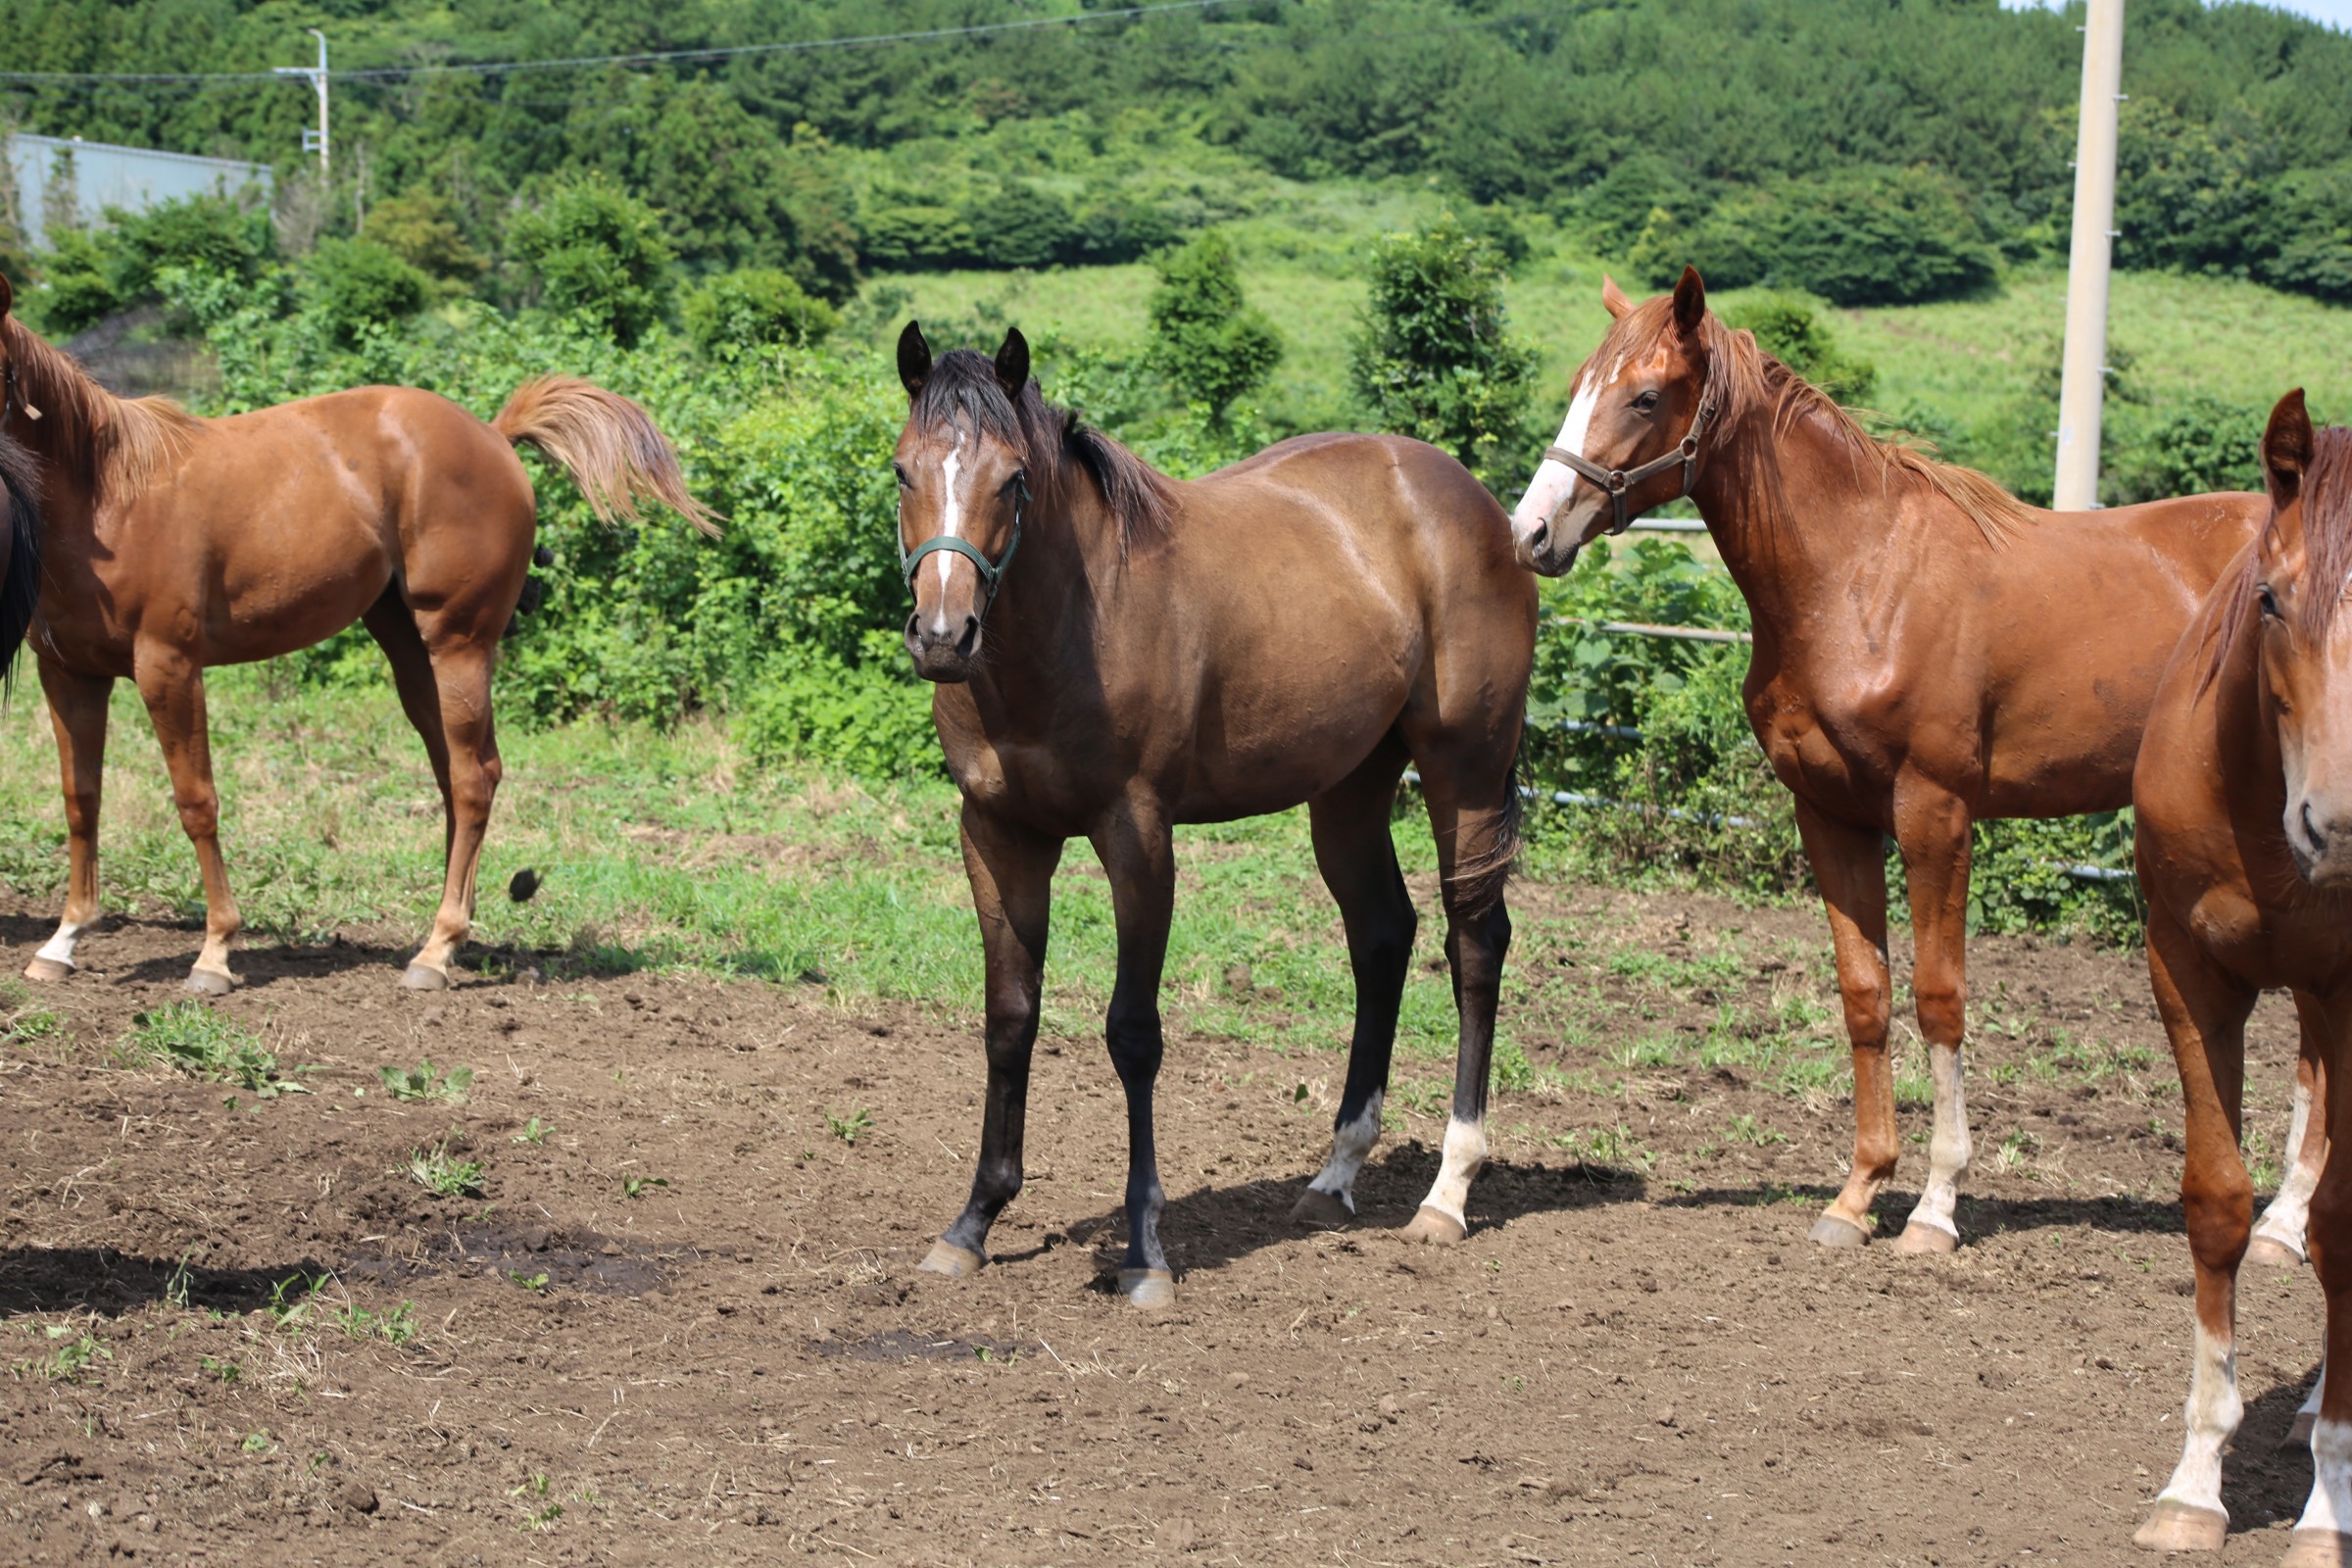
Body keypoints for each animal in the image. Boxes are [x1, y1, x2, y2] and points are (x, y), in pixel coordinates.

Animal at [0, 273, 716, 993]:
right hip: (409, 652)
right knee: (455, 776)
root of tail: (493, 434)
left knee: (473, 778)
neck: (110, 494)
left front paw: (215, 952)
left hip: (458, 644)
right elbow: (80, 800)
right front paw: (63, 940)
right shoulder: (69, 674)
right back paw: (452, 936)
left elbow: (196, 802)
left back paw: (435, 951)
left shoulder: (168, 667)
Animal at [892, 322, 1535, 1306]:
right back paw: (1335, 1175)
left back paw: (1447, 1192)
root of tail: (1477, 504)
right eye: (902, 472)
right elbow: (1010, 1017)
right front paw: (973, 1222)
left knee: (1474, 944)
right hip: (1348, 790)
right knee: (1383, 935)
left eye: (1014, 479)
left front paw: (1145, 1253)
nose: (941, 636)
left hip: (1465, 767)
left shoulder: (1138, 837)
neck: (1069, 628)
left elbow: (1132, 1034)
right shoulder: (999, 836)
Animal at [1507, 269, 2272, 1254]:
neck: (1860, 577)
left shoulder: (1935, 813)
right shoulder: (1831, 814)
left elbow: (1938, 997)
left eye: (1643, 397)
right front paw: (1858, 1193)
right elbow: (1865, 992)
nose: (1531, 532)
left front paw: (1937, 1209)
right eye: (1576, 386)